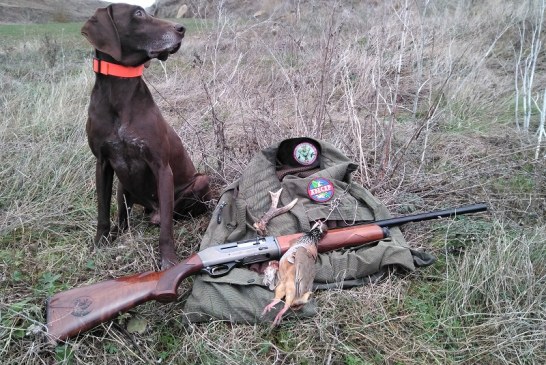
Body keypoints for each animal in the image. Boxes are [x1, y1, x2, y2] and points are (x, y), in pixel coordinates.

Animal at [82, 4, 209, 268]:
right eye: (138, 13)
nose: (181, 29)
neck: (119, 94)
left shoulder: (161, 167)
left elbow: (167, 228)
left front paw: (169, 262)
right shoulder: (102, 164)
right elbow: (102, 213)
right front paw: (100, 244)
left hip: (201, 181)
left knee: (170, 215)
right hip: (122, 185)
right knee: (124, 218)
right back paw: (119, 232)